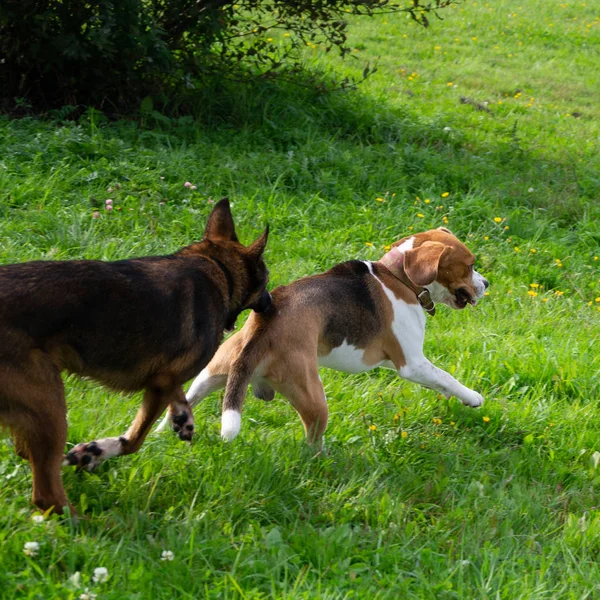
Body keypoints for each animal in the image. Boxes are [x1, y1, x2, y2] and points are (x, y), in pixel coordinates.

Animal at [0, 199, 270, 512]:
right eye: (266, 281)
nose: (271, 304)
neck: (216, 268)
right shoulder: (161, 381)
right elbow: (137, 438)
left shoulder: (162, 382)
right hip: (49, 404)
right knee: (46, 494)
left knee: (31, 458)